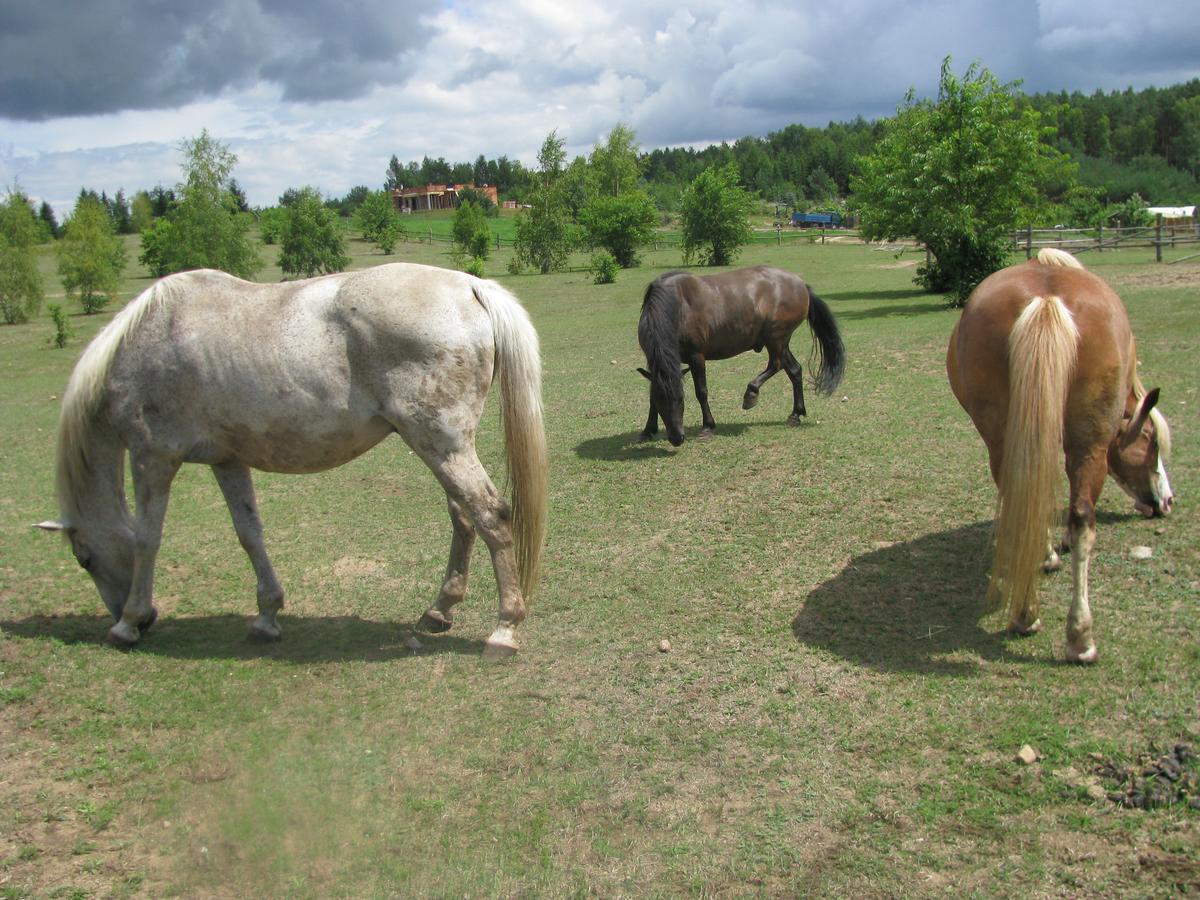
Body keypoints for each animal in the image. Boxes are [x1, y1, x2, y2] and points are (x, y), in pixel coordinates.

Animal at [35, 264, 547, 657]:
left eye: (83, 558)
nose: (146, 621)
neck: (151, 337)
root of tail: (470, 285)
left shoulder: (152, 458)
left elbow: (147, 538)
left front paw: (127, 622)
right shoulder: (227, 461)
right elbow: (249, 534)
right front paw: (266, 616)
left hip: (441, 444)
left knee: (491, 515)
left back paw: (504, 629)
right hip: (443, 447)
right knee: (463, 517)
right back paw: (440, 610)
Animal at [638, 266, 844, 446]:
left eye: (681, 399)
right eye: (660, 402)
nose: (677, 438)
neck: (678, 307)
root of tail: (801, 285)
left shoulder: (697, 357)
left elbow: (701, 392)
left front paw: (708, 427)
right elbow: (652, 394)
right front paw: (648, 430)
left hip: (776, 339)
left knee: (775, 365)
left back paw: (751, 393)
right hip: (781, 343)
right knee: (794, 370)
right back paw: (795, 415)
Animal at [945, 250, 1171, 667]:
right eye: (1152, 443)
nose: (1166, 501)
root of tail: (1046, 299)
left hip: (1004, 438)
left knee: (1026, 500)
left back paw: (1026, 614)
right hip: (1088, 441)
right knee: (1081, 517)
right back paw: (1078, 637)